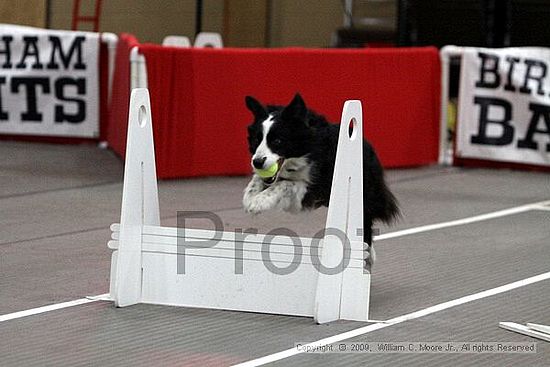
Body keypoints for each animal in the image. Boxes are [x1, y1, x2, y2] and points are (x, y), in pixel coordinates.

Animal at [244, 93, 398, 268]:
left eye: (277, 141)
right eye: (256, 140)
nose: (257, 162)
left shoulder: (317, 188)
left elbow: (286, 183)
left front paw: (259, 202)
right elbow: (259, 179)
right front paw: (250, 197)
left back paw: (367, 256)